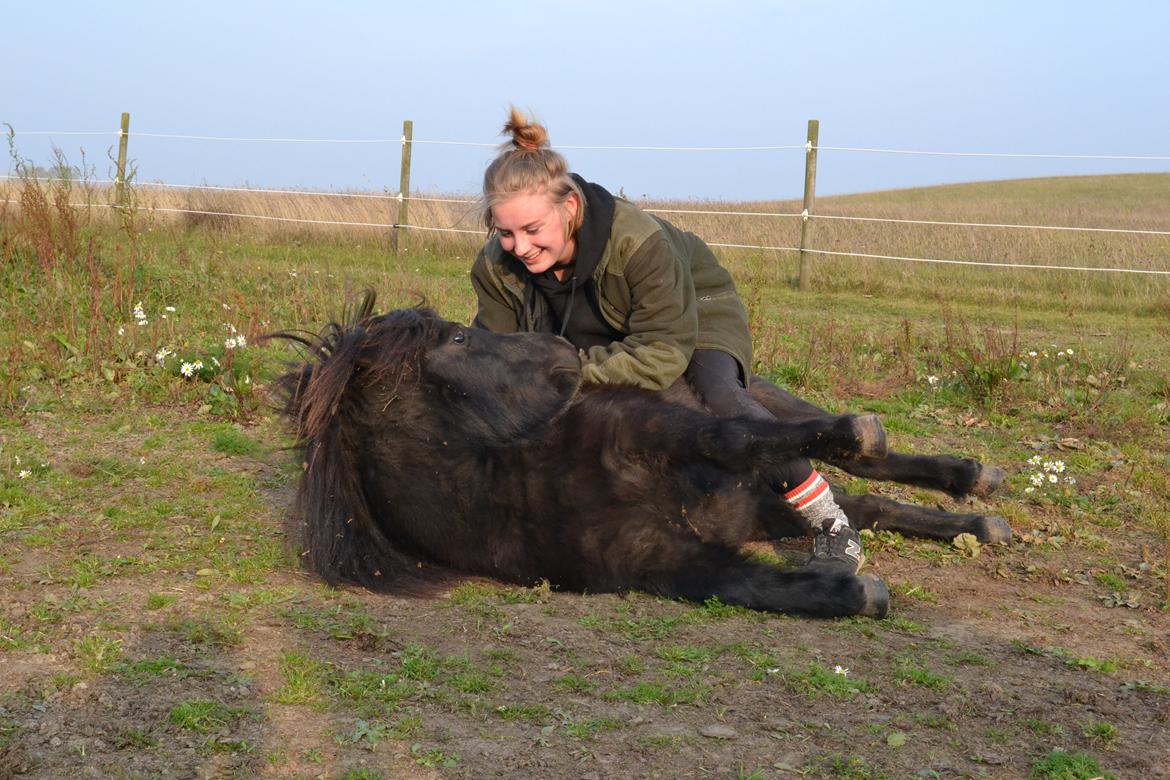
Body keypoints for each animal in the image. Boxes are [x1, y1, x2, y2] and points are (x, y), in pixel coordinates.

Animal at [269, 295, 1010, 617]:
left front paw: (862, 433)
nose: (564, 349)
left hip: (767, 410)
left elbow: (728, 437)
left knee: (855, 464)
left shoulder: (668, 432)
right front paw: (856, 591)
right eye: (457, 338)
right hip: (768, 504)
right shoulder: (671, 567)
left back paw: (971, 479)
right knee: (865, 503)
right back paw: (974, 523)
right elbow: (753, 587)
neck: (524, 477)